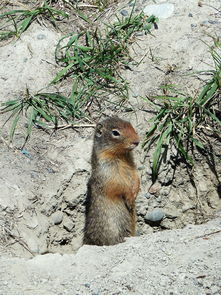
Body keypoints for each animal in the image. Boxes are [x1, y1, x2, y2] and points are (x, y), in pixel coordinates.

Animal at [83, 117, 140, 246]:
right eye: (115, 133)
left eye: (130, 125)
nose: (137, 141)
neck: (121, 155)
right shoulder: (107, 171)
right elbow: (118, 185)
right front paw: (130, 197)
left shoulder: (132, 166)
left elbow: (136, 176)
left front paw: (135, 192)